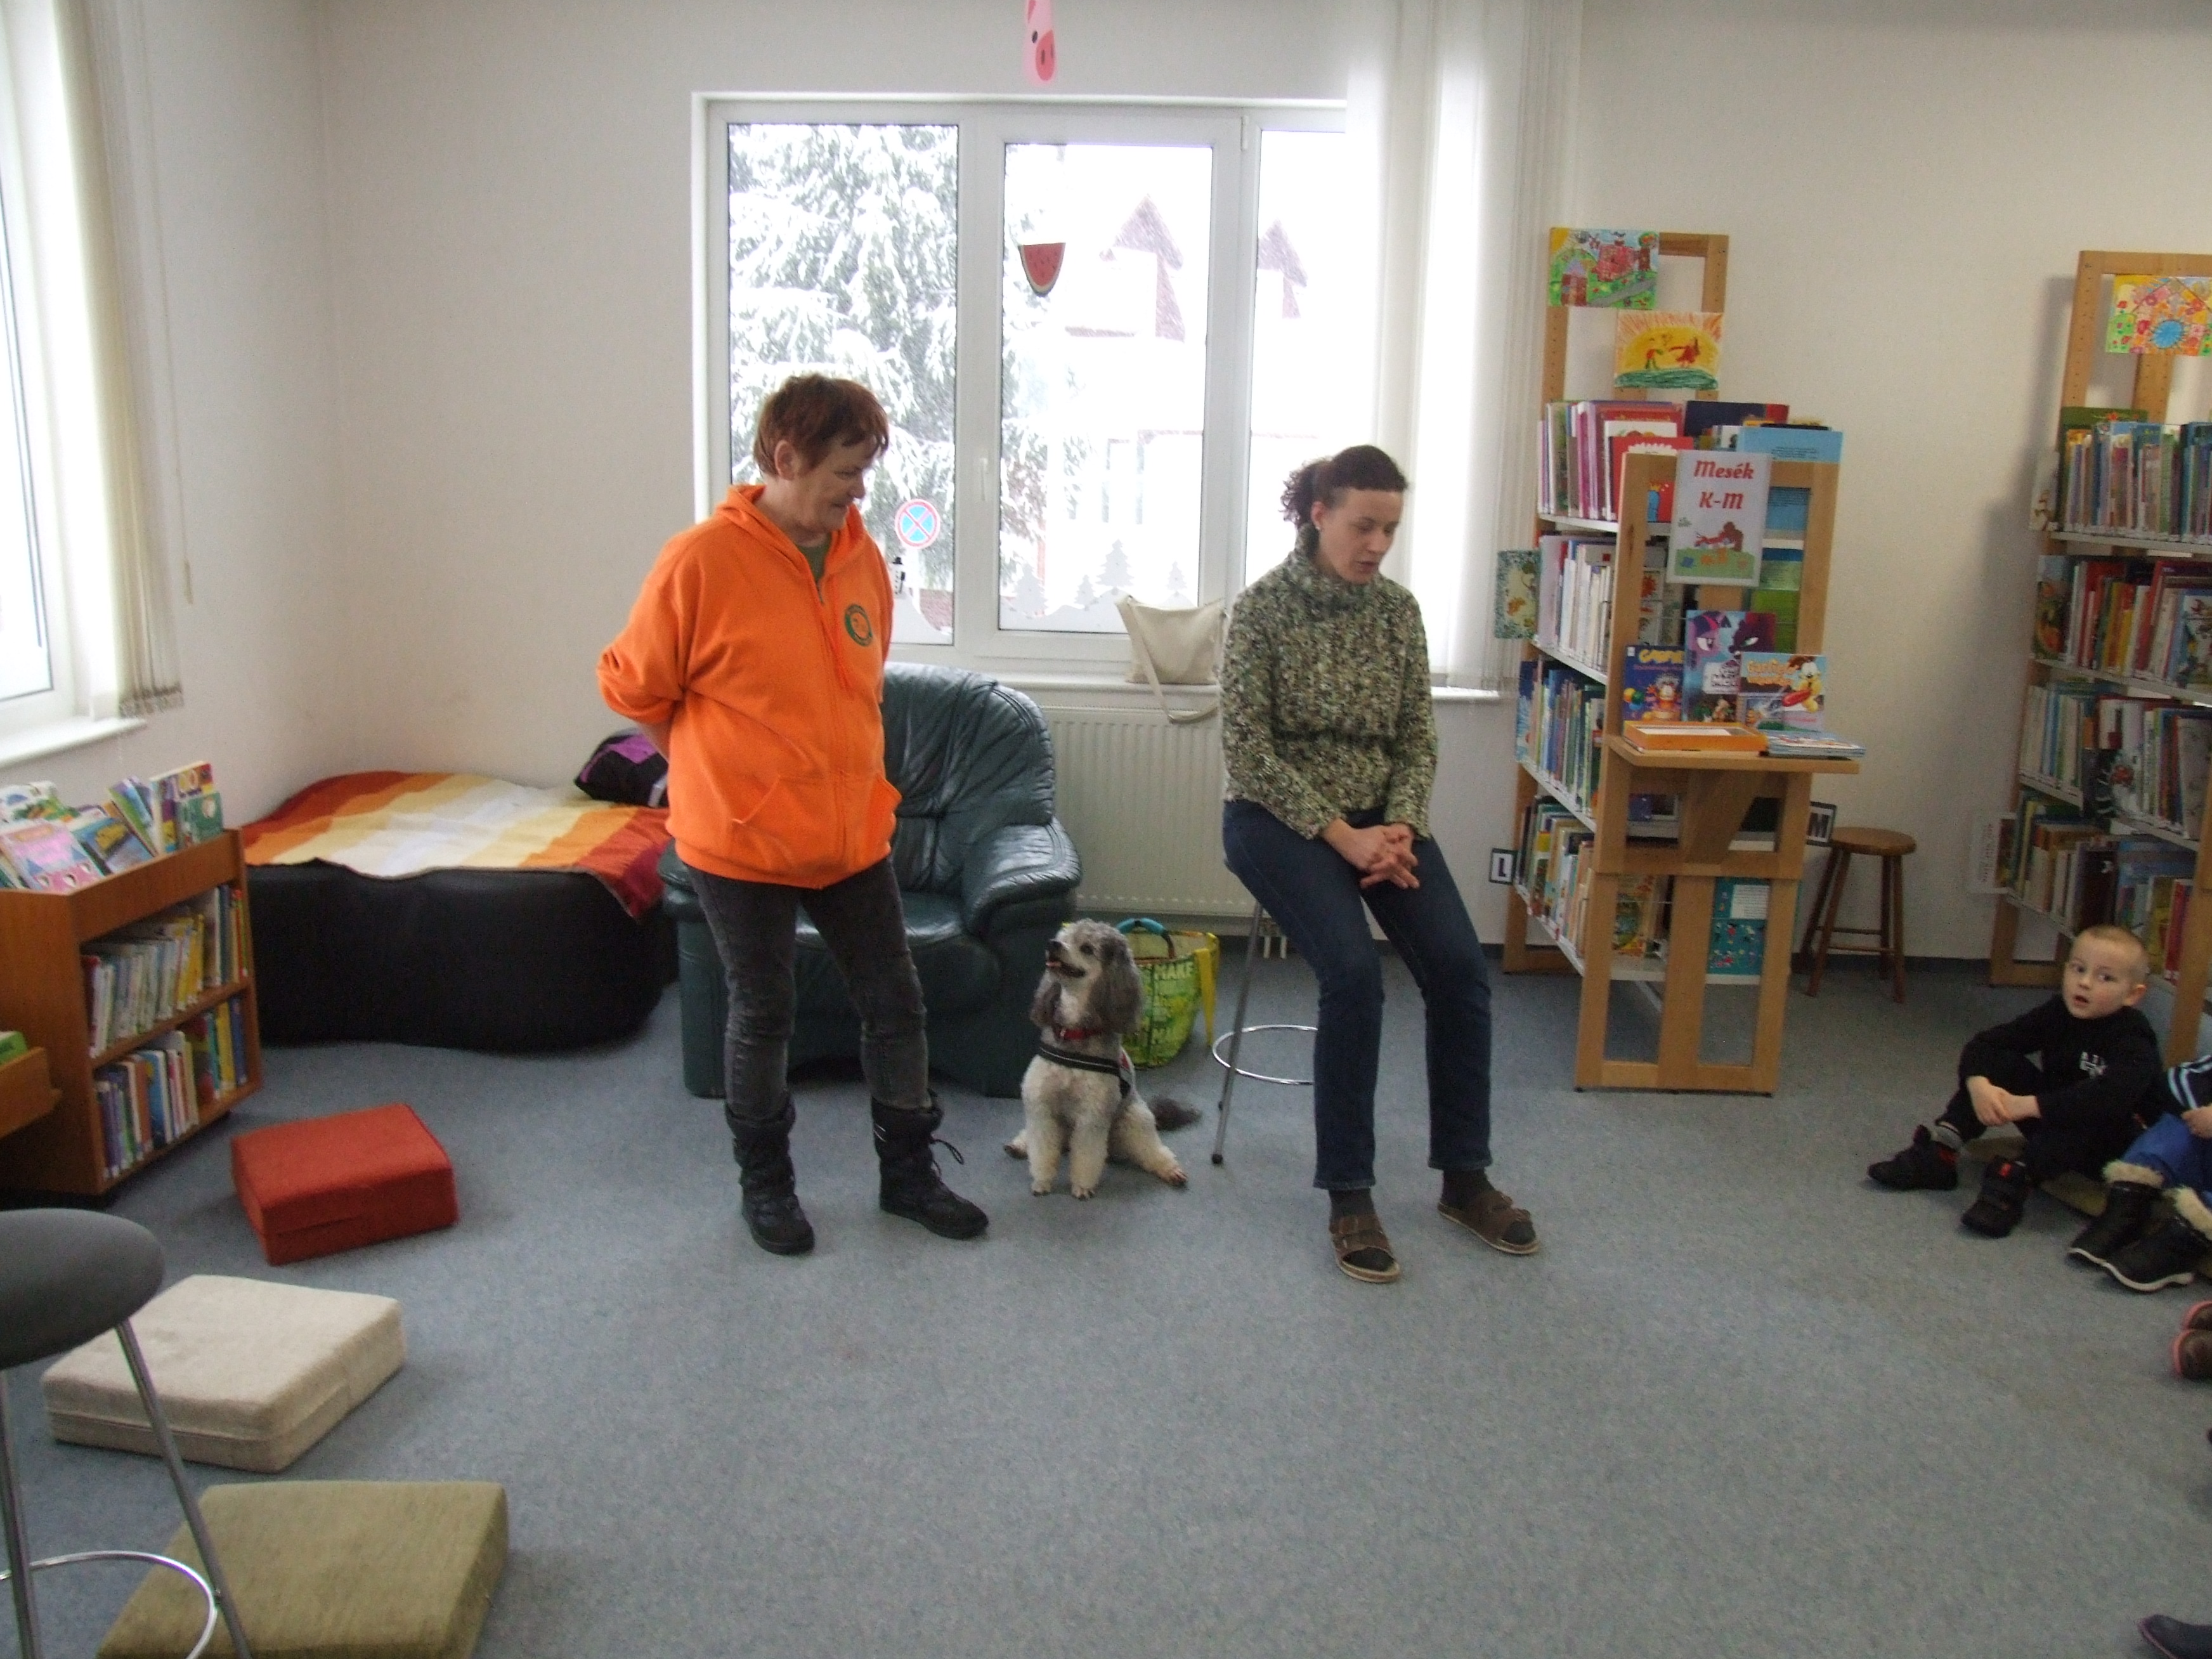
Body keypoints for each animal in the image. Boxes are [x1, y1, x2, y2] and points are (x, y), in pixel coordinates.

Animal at [1006, 919, 1199, 1197]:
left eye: (1087, 948)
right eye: (1062, 937)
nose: (1053, 945)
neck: (1075, 1033)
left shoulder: (1091, 1115)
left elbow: (1088, 1154)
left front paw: (1082, 1186)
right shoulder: (1042, 1107)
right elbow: (1042, 1148)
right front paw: (1042, 1181)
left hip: (1135, 1119)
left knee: (1151, 1151)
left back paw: (1170, 1170)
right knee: (1040, 1140)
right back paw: (1019, 1145)